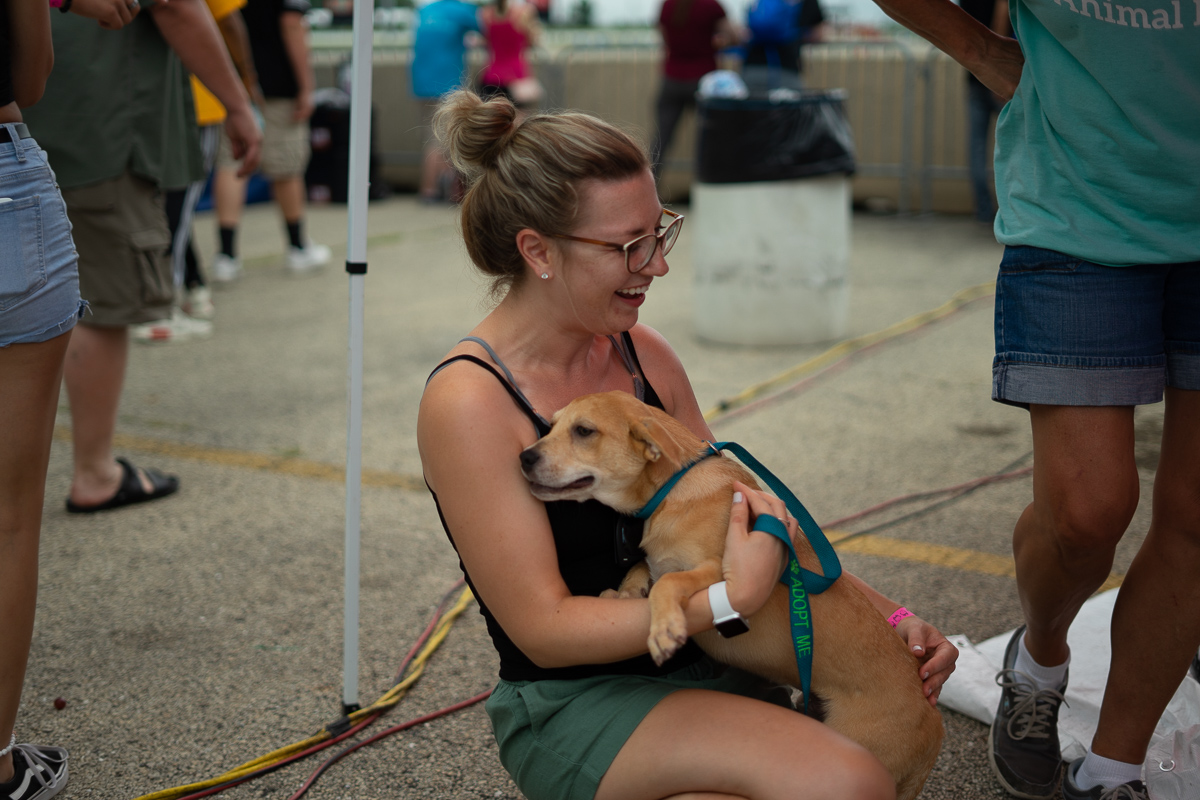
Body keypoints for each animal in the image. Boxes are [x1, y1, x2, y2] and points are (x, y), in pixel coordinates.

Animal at [520, 388, 940, 800]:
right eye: (551, 426)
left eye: (584, 431)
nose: (523, 457)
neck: (671, 490)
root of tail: (934, 724)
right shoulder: (661, 559)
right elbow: (642, 567)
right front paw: (625, 592)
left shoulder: (716, 572)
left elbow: (669, 581)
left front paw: (663, 628)